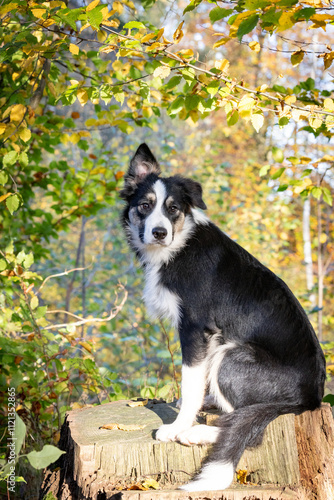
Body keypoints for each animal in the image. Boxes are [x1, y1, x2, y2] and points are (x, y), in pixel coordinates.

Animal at [120, 144, 326, 492]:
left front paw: (176, 427)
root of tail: (312, 397)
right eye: (145, 206)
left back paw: (197, 432)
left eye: (173, 209)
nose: (159, 233)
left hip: (232, 355)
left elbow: (190, 382)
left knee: (248, 429)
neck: (179, 246)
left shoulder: (195, 328)